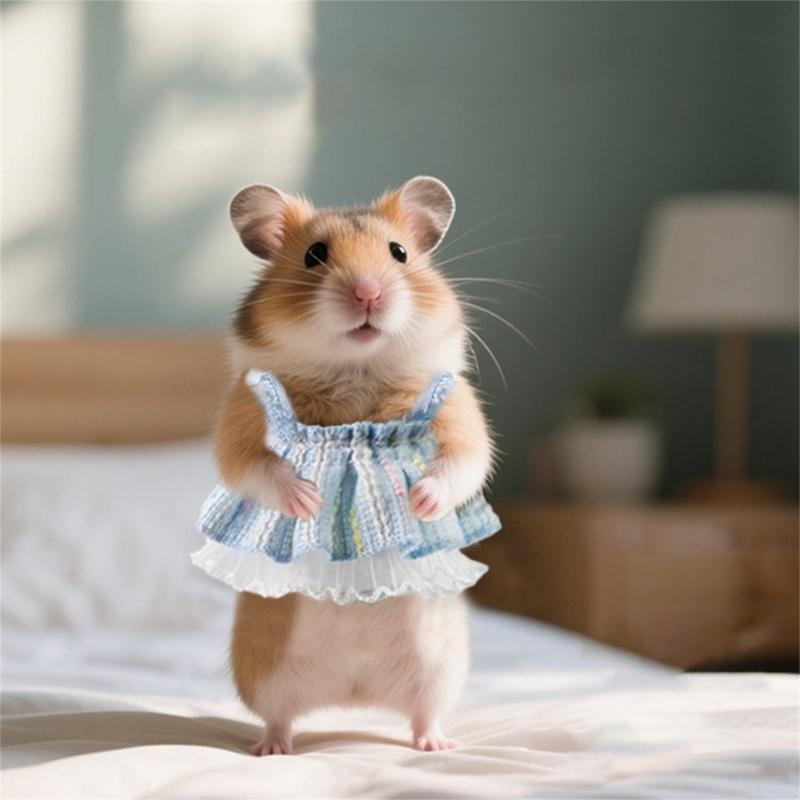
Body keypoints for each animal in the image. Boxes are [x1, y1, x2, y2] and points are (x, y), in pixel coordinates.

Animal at [216, 176, 494, 754]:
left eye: (399, 253)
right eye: (314, 255)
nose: (368, 292)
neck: (356, 372)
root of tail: (354, 694)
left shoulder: (458, 409)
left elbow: (464, 461)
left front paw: (420, 500)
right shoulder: (243, 413)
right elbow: (251, 465)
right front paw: (308, 499)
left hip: (439, 671)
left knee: (424, 714)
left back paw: (435, 746)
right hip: (263, 673)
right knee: (278, 716)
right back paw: (272, 750)